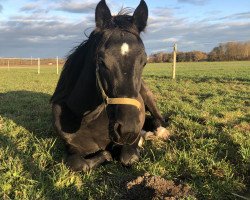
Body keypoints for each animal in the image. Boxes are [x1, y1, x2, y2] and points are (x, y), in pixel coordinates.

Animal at [51, 0, 166, 172]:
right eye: (101, 61)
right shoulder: (71, 148)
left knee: (159, 119)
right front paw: (106, 155)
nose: (127, 130)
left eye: (144, 61)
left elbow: (128, 157)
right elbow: (77, 163)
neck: (86, 118)